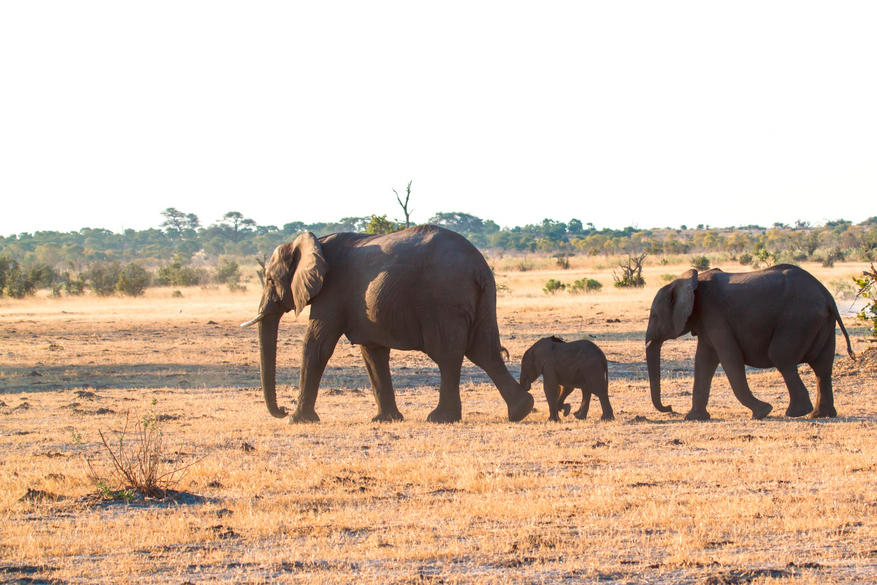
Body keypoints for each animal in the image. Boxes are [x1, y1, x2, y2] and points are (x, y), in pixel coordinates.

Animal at [240, 225, 532, 424]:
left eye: (269, 280)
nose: (282, 410)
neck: (313, 242)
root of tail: (478, 265)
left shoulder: (332, 290)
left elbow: (317, 343)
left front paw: (296, 420)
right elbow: (372, 353)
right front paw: (386, 420)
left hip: (443, 299)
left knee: (449, 354)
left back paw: (440, 418)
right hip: (481, 297)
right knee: (484, 351)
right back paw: (521, 410)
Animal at [644, 264, 856, 420]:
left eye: (654, 316)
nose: (670, 407)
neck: (689, 281)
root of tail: (827, 295)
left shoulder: (714, 314)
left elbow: (730, 360)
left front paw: (762, 412)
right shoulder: (706, 320)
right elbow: (704, 362)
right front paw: (695, 417)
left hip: (798, 320)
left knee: (782, 358)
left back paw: (796, 413)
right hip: (821, 322)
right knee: (823, 367)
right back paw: (821, 415)